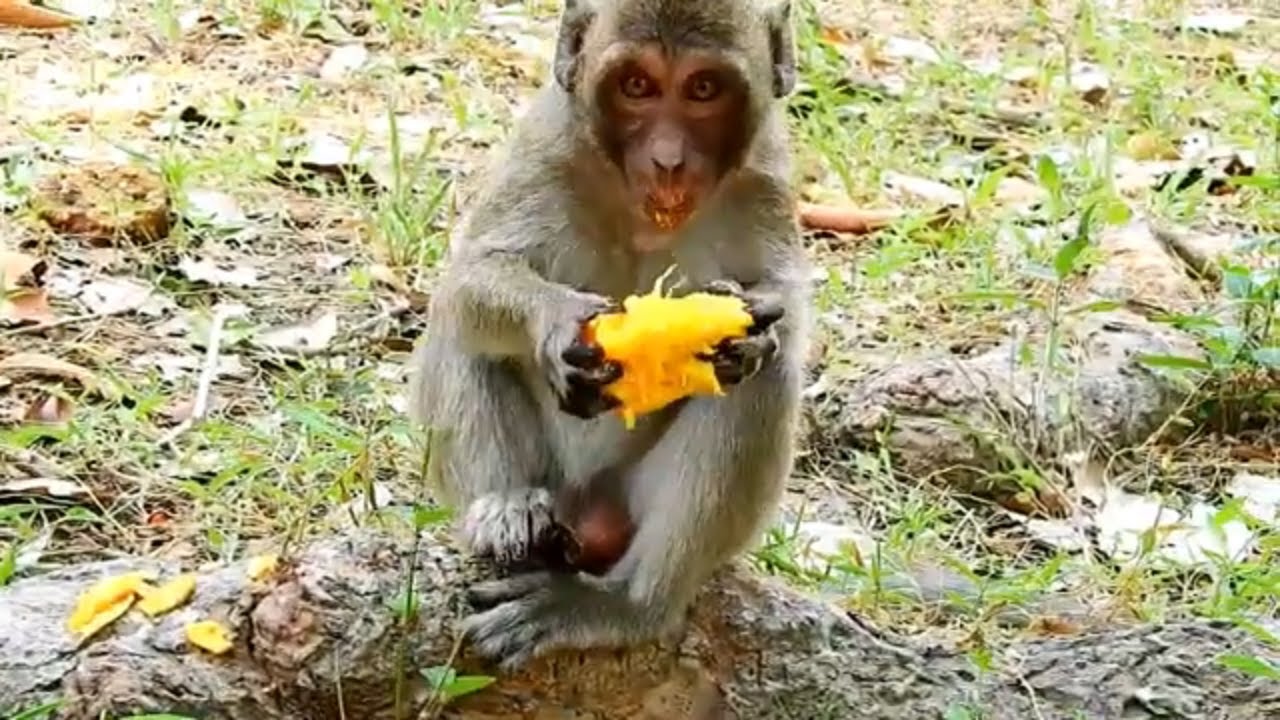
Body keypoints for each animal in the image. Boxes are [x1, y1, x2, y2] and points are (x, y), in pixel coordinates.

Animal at [407, 0, 810, 670]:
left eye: (704, 89)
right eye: (637, 86)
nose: (669, 158)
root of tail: (586, 518)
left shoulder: (766, 177)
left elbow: (787, 309)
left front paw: (754, 333)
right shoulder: (547, 144)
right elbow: (471, 279)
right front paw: (556, 321)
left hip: (627, 507)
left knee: (762, 383)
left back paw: (628, 603)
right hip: (554, 485)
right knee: (462, 332)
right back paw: (508, 512)